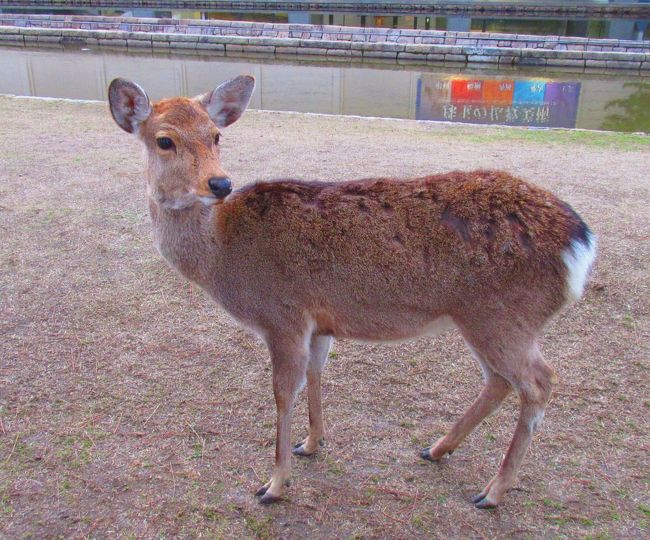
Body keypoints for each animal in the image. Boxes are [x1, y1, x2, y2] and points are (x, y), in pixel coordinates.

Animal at [108, 75, 596, 508]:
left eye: (216, 135)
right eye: (164, 140)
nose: (220, 183)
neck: (223, 256)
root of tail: (581, 242)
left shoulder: (282, 316)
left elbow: (282, 392)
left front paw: (273, 485)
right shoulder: (319, 323)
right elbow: (316, 374)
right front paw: (311, 443)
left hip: (503, 316)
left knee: (539, 381)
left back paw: (492, 492)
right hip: (483, 320)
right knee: (499, 380)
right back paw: (437, 449)